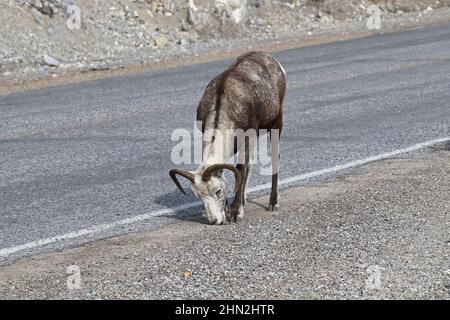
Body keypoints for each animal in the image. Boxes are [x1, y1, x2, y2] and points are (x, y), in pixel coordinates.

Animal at [169, 50, 284, 225]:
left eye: (218, 191)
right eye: (198, 196)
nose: (214, 221)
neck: (222, 106)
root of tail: (271, 59)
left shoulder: (248, 137)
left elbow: (241, 168)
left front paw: (236, 213)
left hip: (277, 123)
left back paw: (273, 203)